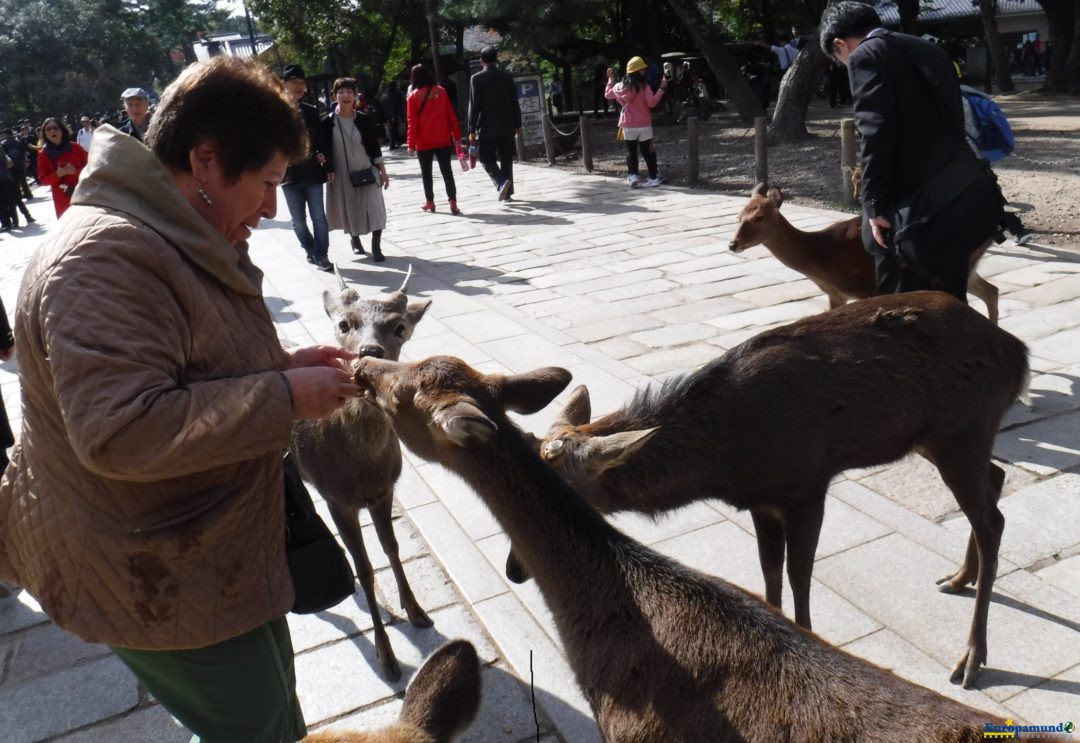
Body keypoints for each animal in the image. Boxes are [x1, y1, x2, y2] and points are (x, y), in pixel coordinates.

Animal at [293, 269, 432, 682]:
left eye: (399, 327)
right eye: (343, 324)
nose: (370, 352)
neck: (363, 468)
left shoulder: (385, 490)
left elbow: (392, 548)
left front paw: (417, 611)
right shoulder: (338, 500)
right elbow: (366, 569)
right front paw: (387, 658)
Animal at [507, 291, 1028, 691]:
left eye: (568, 494)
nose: (515, 570)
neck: (725, 459)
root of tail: (1018, 353)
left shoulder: (807, 485)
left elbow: (799, 577)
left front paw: (808, 641)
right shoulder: (760, 501)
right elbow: (770, 573)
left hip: (964, 429)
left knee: (993, 521)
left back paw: (972, 658)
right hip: (941, 439)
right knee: (995, 482)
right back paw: (959, 577)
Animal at [730, 182, 997, 321]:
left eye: (759, 217)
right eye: (739, 215)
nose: (732, 244)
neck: (821, 258)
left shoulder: (865, 287)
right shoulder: (836, 295)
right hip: (968, 267)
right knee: (991, 290)